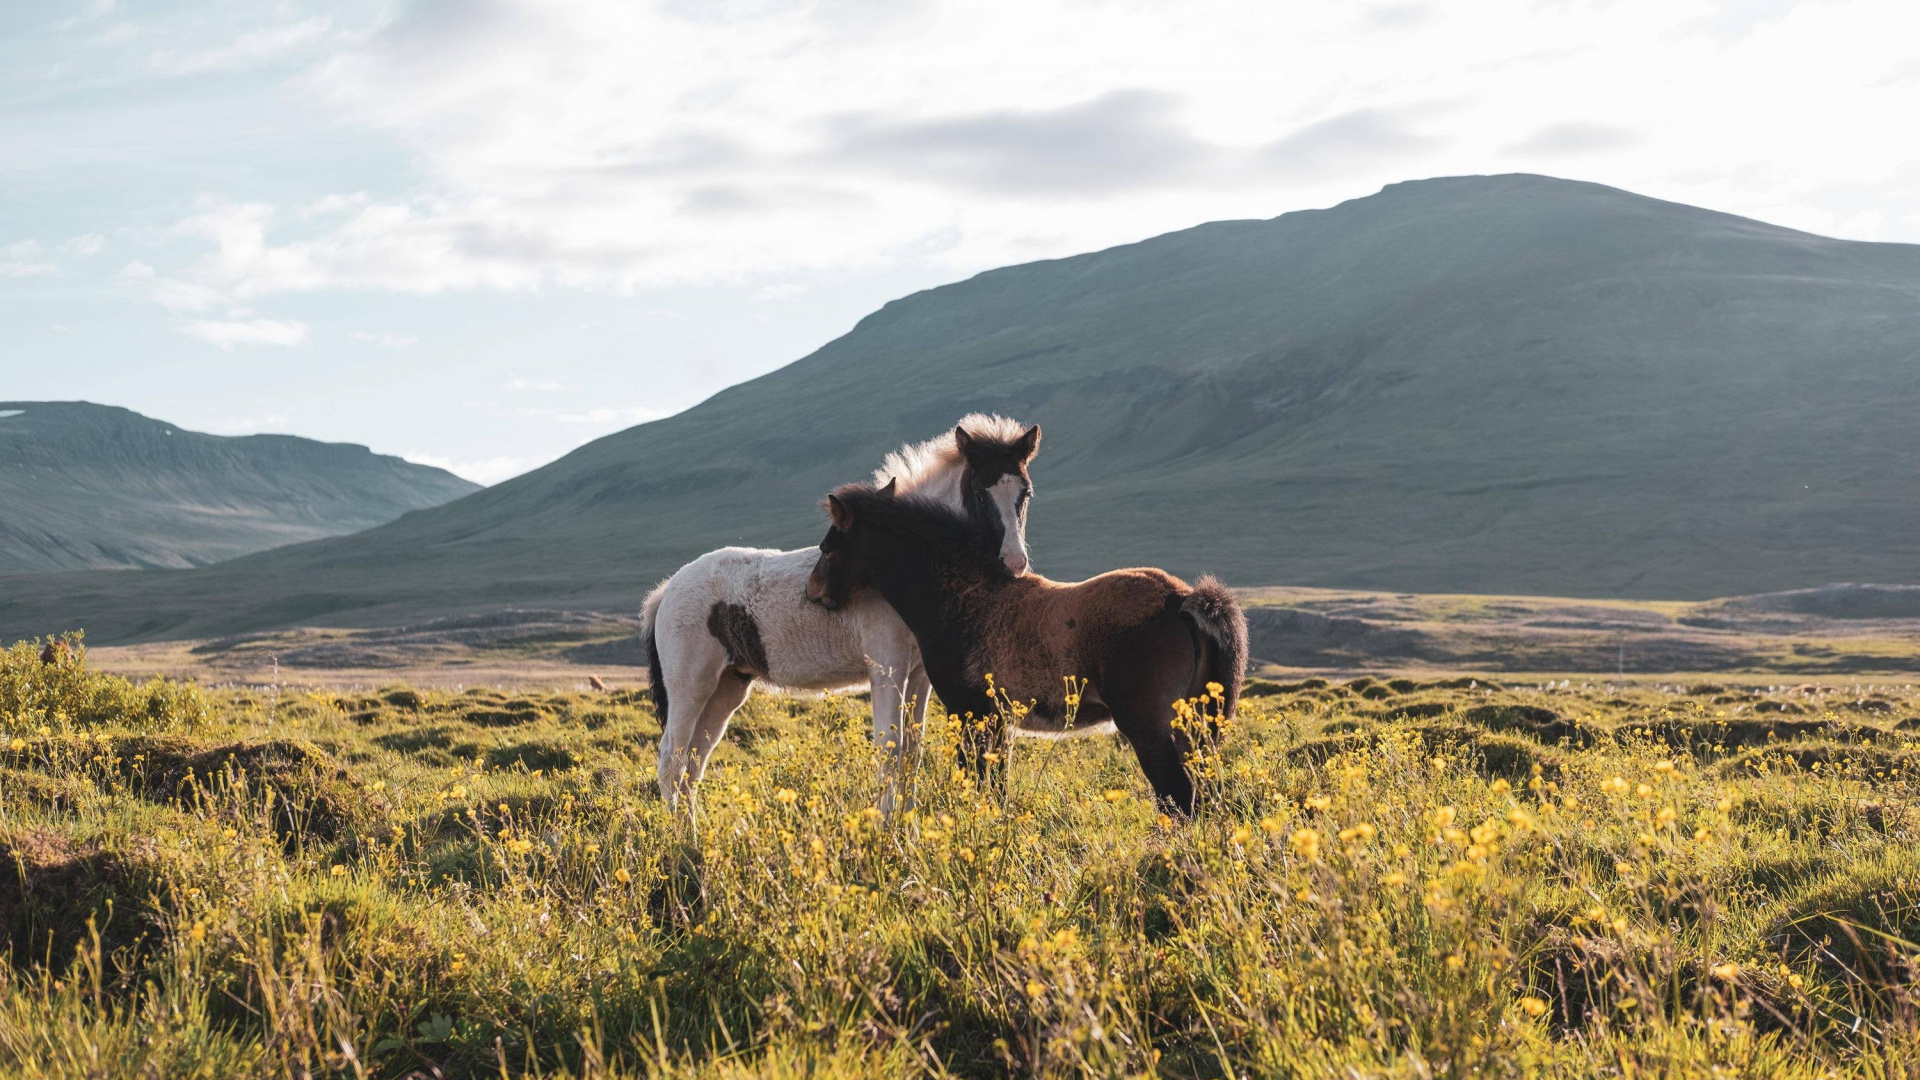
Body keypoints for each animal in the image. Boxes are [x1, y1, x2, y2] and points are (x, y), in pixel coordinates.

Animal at [643, 416, 1041, 813]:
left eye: (1026, 494)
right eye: (979, 493)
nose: (1014, 564)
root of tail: (666, 591)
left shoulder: (918, 675)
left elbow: (913, 752)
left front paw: (908, 828)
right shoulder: (887, 666)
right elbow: (890, 750)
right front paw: (885, 827)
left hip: (728, 687)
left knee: (694, 762)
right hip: (690, 686)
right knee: (671, 760)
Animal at [805, 482, 1246, 816]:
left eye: (828, 548)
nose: (813, 593)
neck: (962, 597)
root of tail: (1184, 599)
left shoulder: (967, 710)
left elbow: (975, 778)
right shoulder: (998, 719)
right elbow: (996, 787)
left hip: (1149, 726)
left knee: (1181, 797)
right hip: (1197, 729)